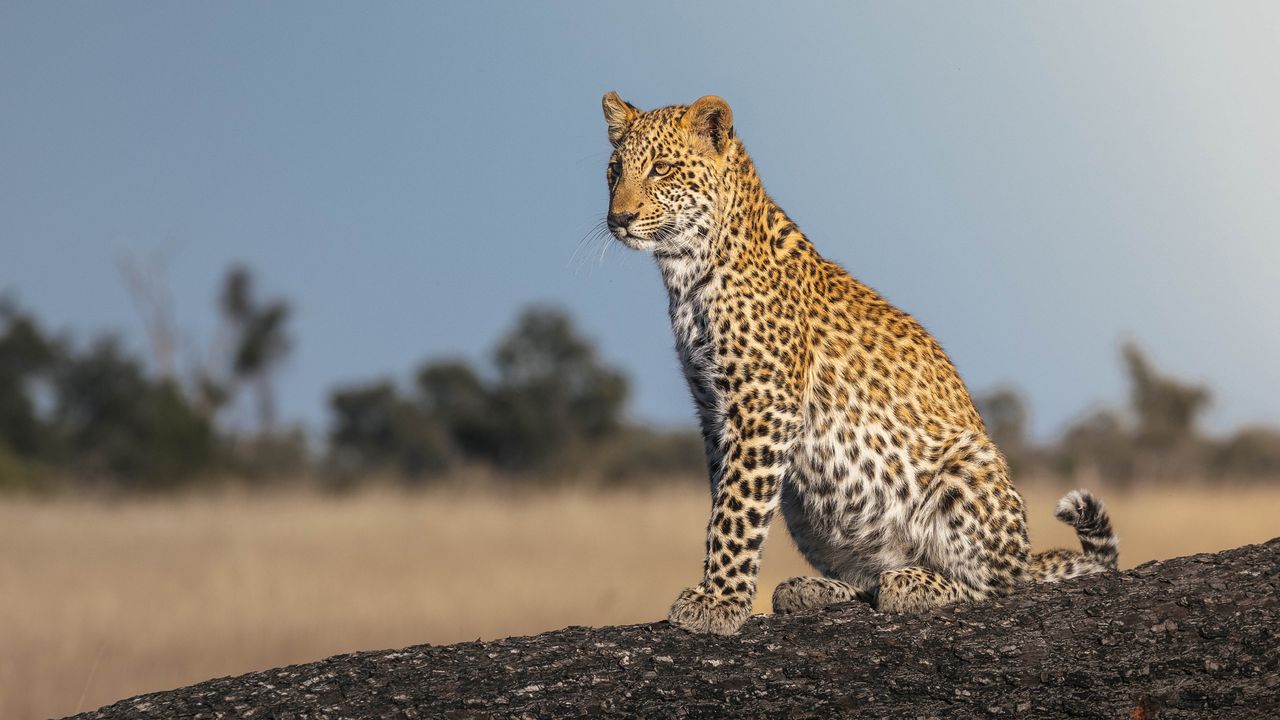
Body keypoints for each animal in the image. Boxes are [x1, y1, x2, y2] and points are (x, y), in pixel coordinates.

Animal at [601, 92, 1119, 635]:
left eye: (661, 169)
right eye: (614, 171)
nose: (619, 219)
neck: (686, 271)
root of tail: (1025, 553)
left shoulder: (764, 408)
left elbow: (737, 512)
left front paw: (718, 602)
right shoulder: (714, 412)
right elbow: (726, 499)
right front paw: (721, 592)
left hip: (967, 466)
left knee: (995, 584)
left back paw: (912, 582)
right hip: (805, 508)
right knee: (868, 575)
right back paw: (813, 589)